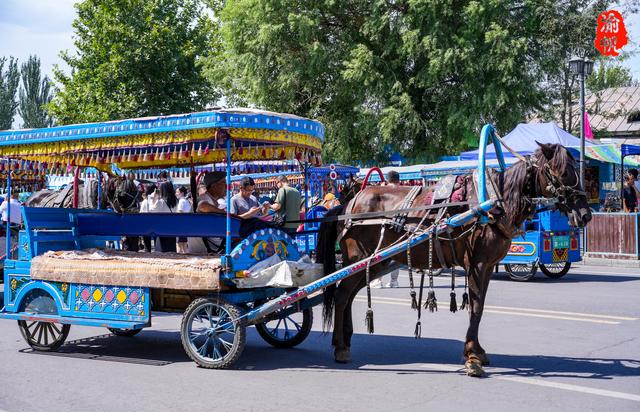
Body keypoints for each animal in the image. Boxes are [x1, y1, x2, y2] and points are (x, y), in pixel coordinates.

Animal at [318, 142, 592, 376]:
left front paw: (478, 351)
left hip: (375, 262)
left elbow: (479, 307)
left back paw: (345, 339)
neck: (492, 203)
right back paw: (340, 347)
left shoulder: (488, 266)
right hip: (358, 258)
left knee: (349, 295)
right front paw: (472, 357)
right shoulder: (477, 264)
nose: (585, 214)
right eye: (562, 172)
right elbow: (476, 307)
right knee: (342, 295)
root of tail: (347, 204)